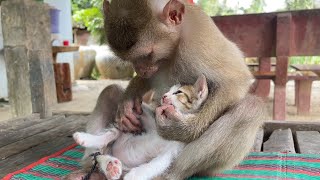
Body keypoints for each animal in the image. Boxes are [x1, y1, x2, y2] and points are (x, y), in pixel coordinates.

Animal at [73, 75, 209, 180]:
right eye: (169, 91)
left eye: (178, 92)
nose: (164, 96)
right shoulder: (150, 122)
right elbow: (140, 111)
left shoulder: (172, 151)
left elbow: (155, 164)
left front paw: (133, 176)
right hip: (124, 132)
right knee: (110, 136)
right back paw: (85, 139)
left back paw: (111, 167)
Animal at [102, 0, 262, 178]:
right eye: (131, 60)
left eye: (147, 55)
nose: (140, 69)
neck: (175, 45)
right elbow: (146, 81)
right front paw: (127, 105)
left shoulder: (199, 38)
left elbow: (235, 81)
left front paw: (184, 128)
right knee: (110, 91)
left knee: (250, 108)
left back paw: (167, 174)